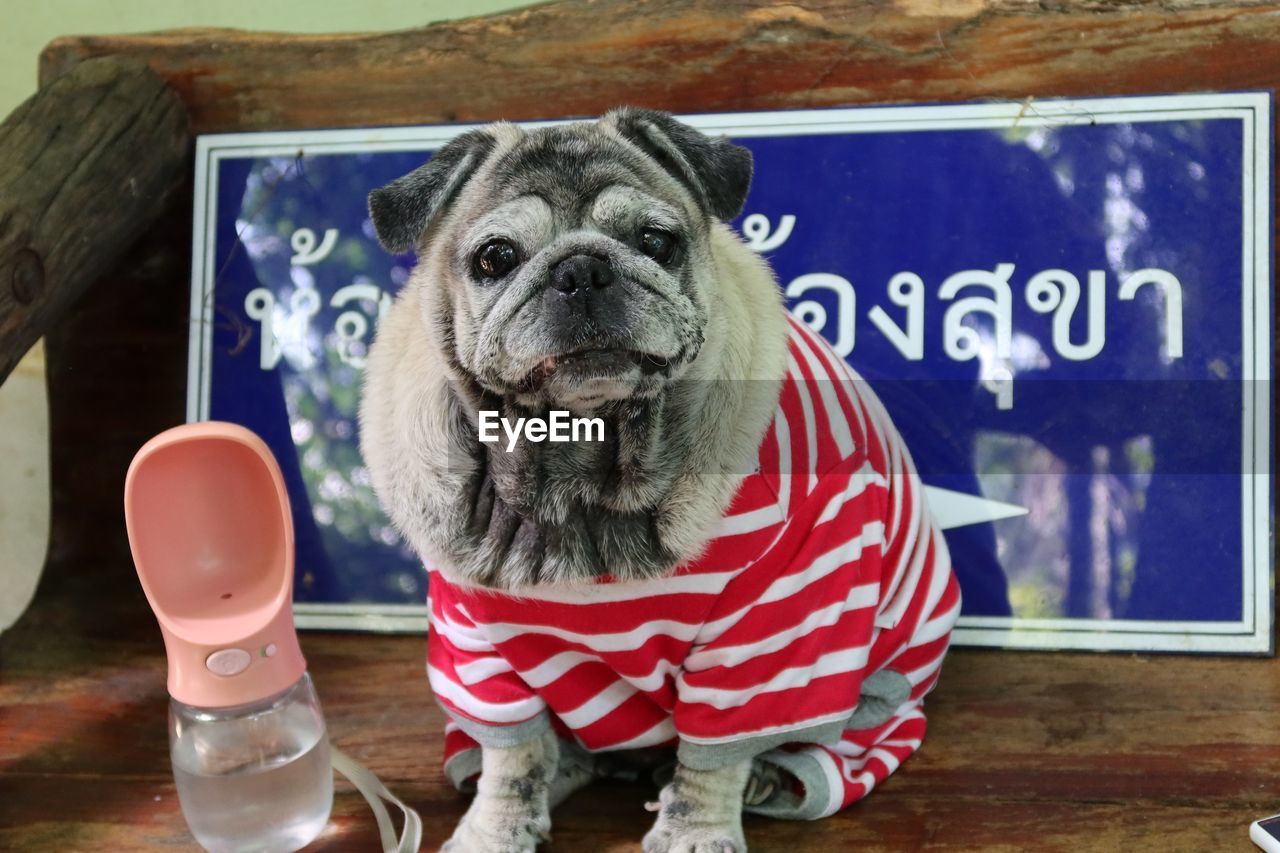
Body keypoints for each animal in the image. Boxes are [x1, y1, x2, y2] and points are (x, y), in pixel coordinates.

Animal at [360, 109, 962, 845]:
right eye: (494, 259)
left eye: (656, 241)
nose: (580, 269)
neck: (581, 463)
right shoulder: (477, 642)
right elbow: (514, 749)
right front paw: (495, 828)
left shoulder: (771, 627)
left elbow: (715, 752)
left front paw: (695, 831)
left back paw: (765, 777)